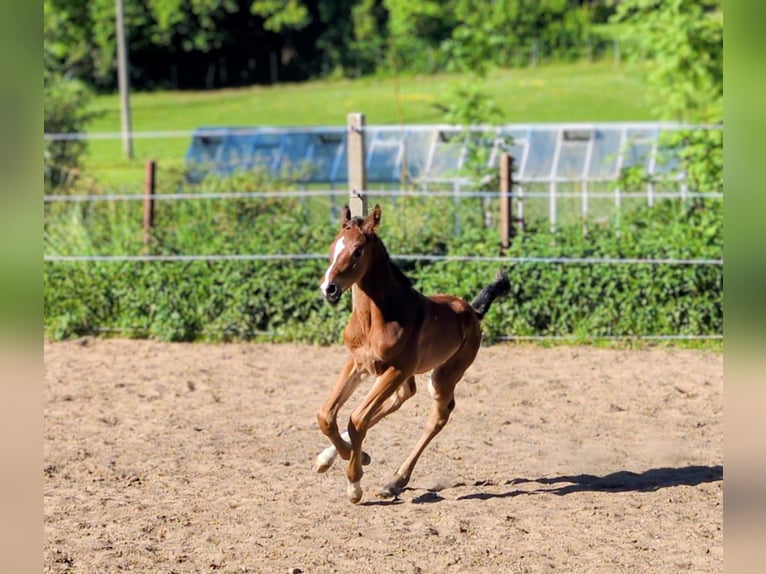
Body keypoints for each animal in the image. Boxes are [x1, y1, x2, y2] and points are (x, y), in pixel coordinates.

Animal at [315, 204, 510, 503]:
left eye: (358, 251)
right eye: (332, 246)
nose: (329, 289)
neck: (377, 319)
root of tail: (472, 311)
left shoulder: (396, 368)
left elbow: (357, 419)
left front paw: (355, 480)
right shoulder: (358, 363)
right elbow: (328, 415)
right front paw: (345, 457)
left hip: (443, 375)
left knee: (437, 416)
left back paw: (394, 481)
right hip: (400, 376)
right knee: (400, 399)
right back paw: (338, 458)